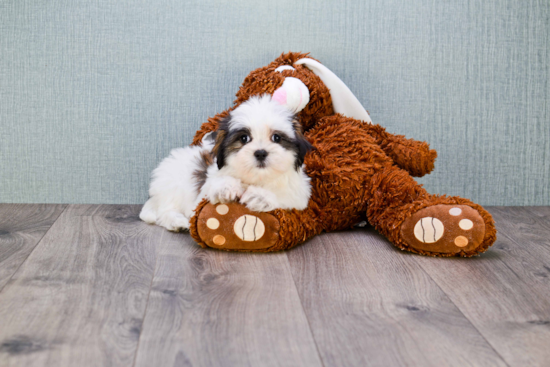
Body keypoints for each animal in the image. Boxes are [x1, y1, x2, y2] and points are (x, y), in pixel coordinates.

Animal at [140, 95, 312, 233]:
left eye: (276, 138)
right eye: (244, 138)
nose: (261, 152)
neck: (254, 179)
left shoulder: (299, 195)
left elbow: (286, 196)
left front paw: (260, 196)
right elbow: (212, 186)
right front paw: (226, 187)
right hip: (173, 185)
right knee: (165, 210)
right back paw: (177, 222)